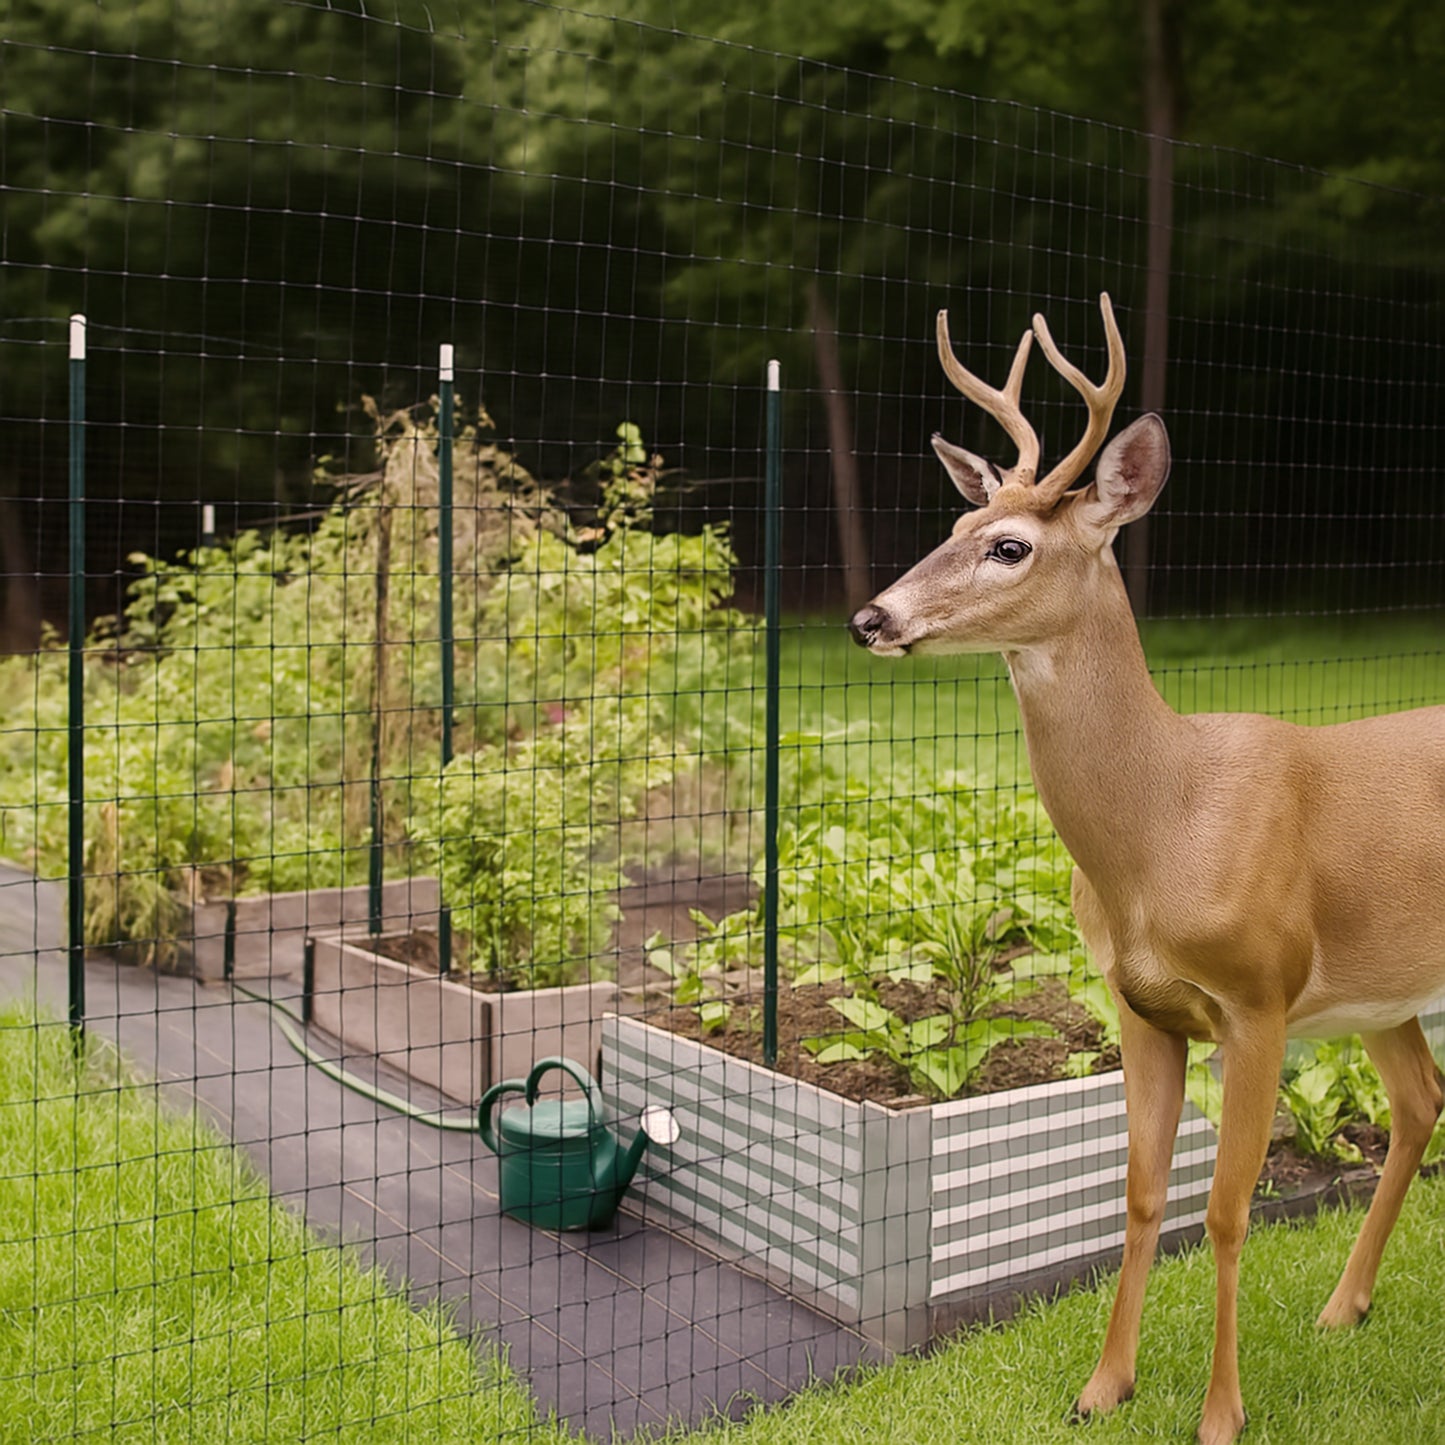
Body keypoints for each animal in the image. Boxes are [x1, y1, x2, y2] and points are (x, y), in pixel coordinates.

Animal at [848, 294, 1445, 1445]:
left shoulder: (1258, 996)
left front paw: (1220, 1412)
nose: (871, 617)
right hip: (1381, 988)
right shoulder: (1138, 1006)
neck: (1159, 830)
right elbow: (1138, 1195)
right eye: (948, 528)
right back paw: (1341, 1307)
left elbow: (1223, 1208)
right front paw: (1101, 1386)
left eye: (1008, 545)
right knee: (1418, 1100)